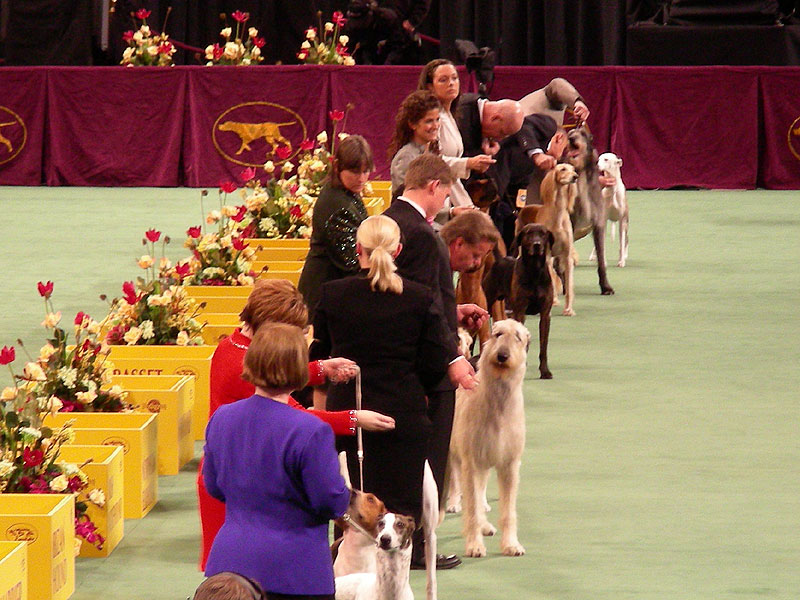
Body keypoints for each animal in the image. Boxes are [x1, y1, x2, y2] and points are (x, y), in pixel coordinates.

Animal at [484, 223, 552, 378]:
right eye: (528, 233)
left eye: (543, 233)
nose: (537, 244)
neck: (534, 271)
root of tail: (500, 259)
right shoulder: (520, 312)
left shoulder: (545, 314)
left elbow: (544, 347)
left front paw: (545, 371)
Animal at [564, 126, 616, 296]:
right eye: (570, 133)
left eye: (583, 134)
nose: (571, 138)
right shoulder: (570, 224)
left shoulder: (598, 224)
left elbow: (601, 260)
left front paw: (605, 286)